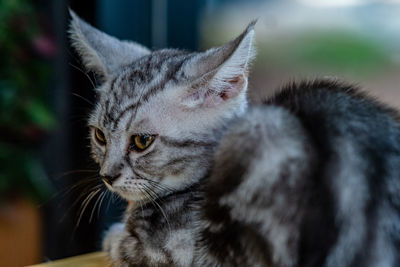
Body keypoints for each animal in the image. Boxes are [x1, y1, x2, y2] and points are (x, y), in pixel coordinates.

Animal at [69, 9, 400, 267]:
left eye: (141, 141)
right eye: (99, 136)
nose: (107, 175)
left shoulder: (177, 250)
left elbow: (119, 243)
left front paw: (113, 234)